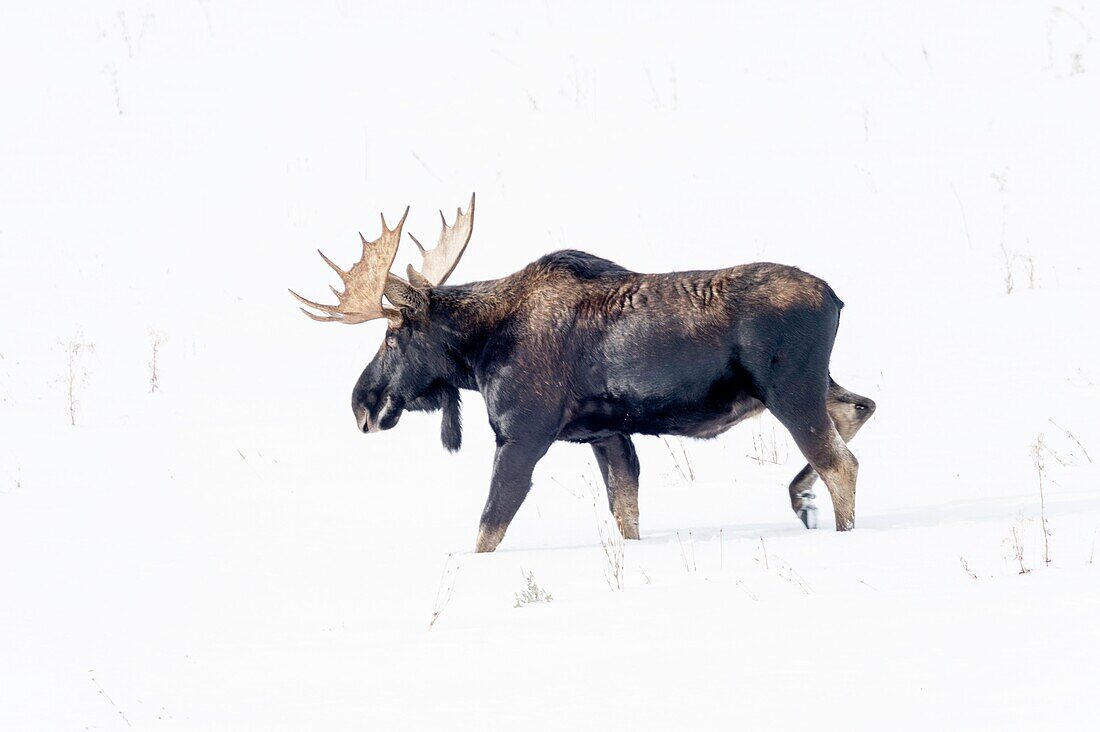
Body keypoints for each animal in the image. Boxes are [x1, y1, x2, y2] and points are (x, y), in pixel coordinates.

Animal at [292, 197, 875, 550]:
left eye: (392, 337)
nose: (361, 403)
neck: (479, 351)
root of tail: (836, 299)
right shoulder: (607, 433)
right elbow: (626, 514)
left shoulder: (522, 435)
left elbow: (487, 529)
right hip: (809, 385)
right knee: (860, 407)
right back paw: (800, 498)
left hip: (789, 390)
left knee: (841, 463)